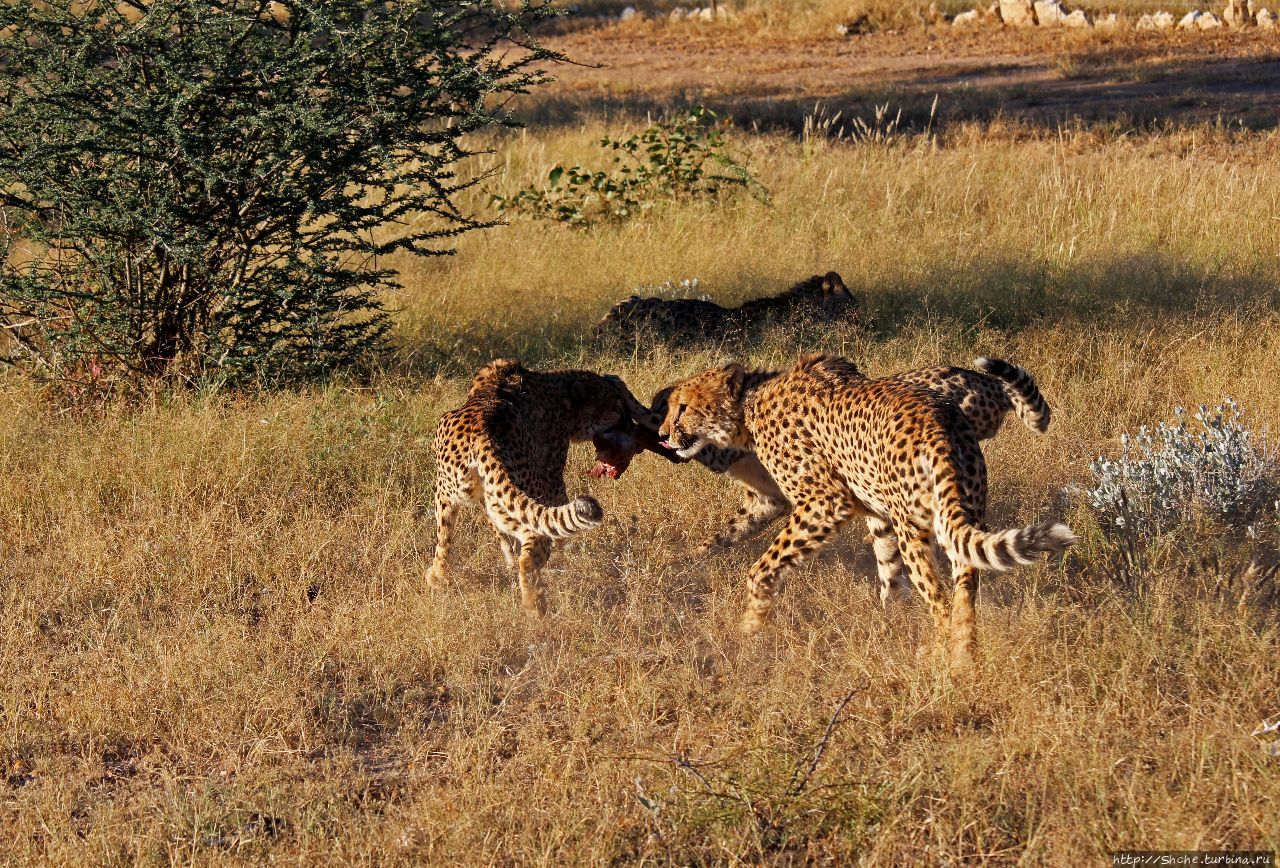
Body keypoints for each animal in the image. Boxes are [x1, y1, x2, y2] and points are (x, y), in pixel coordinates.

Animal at [655, 353, 1075, 670]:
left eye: (683, 407)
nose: (662, 435)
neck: (749, 404)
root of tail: (940, 423)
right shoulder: (873, 512)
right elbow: (888, 571)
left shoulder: (825, 502)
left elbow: (762, 569)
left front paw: (749, 629)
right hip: (960, 515)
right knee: (964, 592)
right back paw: (963, 655)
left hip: (914, 528)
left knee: (939, 598)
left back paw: (940, 660)